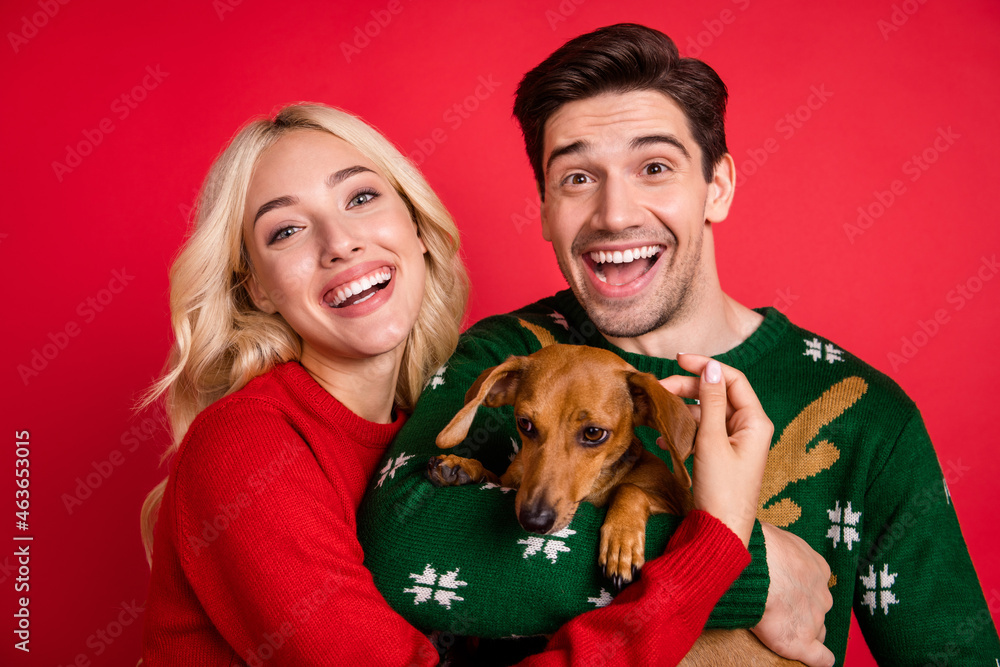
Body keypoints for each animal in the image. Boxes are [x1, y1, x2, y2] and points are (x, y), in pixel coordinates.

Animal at [424, 344, 804, 667]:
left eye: (594, 433)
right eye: (525, 424)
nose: (533, 520)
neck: (597, 488)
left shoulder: (673, 503)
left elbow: (631, 489)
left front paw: (621, 543)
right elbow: (499, 477)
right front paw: (462, 466)